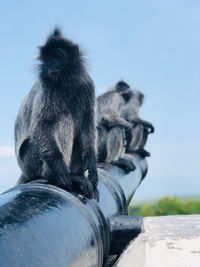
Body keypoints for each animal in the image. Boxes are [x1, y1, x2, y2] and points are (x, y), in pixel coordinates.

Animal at [14, 27, 98, 199]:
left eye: (57, 55)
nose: (50, 64)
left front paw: (92, 162)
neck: (66, 81)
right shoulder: (47, 85)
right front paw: (58, 166)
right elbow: (42, 125)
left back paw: (78, 175)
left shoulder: (87, 84)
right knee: (63, 119)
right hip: (30, 160)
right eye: (46, 59)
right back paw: (58, 175)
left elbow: (88, 124)